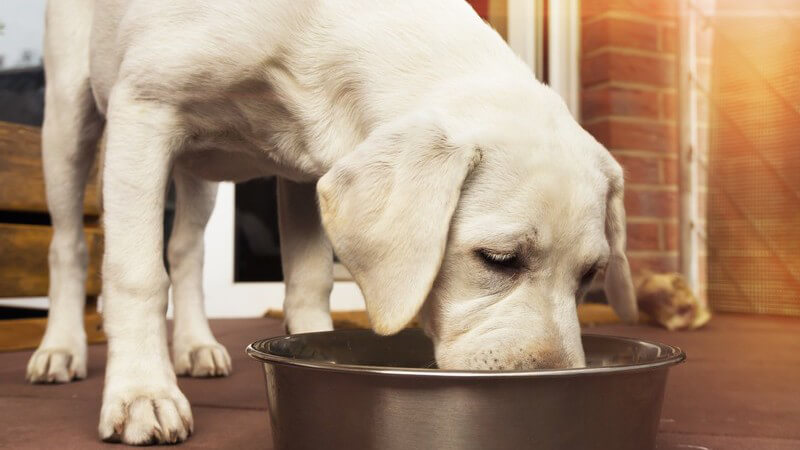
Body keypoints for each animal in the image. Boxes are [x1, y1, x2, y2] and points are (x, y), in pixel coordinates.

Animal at [26, 0, 636, 442]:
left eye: (590, 276)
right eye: (499, 260)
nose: (557, 382)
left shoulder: (303, 173)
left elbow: (308, 281)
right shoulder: (144, 106)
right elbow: (135, 275)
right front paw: (141, 395)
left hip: (197, 171)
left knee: (186, 251)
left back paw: (196, 346)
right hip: (69, 117)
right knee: (68, 245)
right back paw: (61, 349)